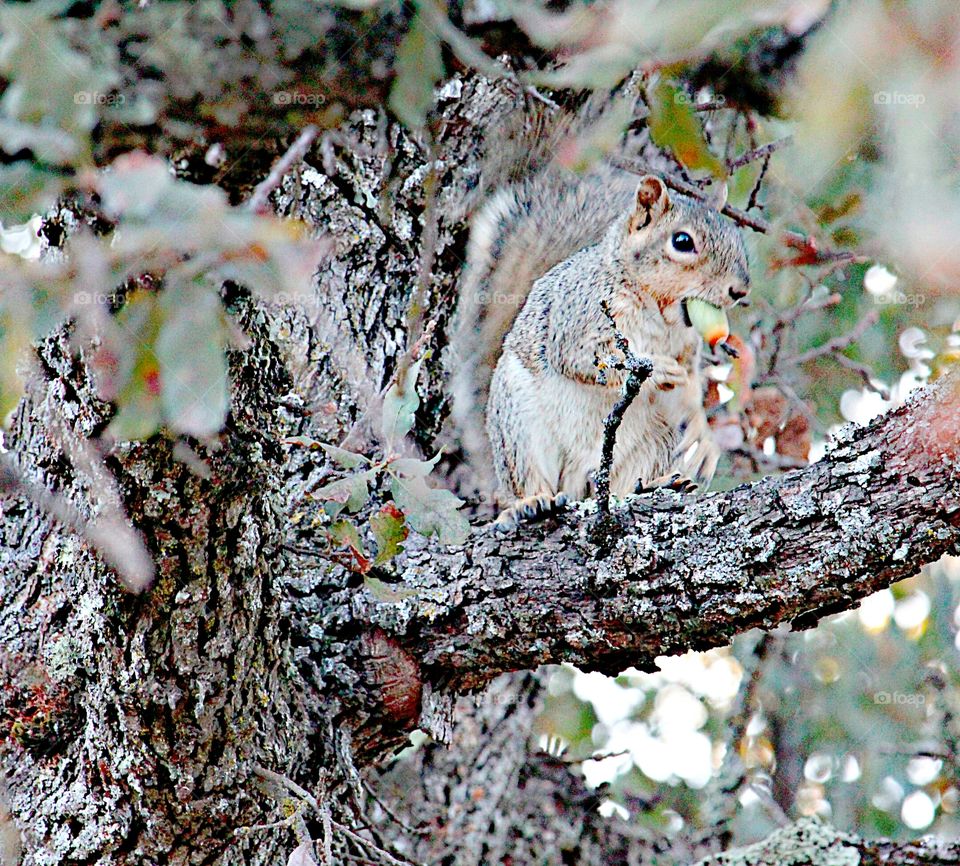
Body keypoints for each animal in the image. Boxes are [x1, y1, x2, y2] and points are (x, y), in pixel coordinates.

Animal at [451, 112, 750, 531]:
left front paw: (703, 436)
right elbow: (585, 358)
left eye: (737, 238)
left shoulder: (687, 351)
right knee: (529, 478)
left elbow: (690, 392)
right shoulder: (578, 315)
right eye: (682, 242)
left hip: (654, 440)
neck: (659, 316)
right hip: (520, 425)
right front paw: (656, 368)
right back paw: (531, 502)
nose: (739, 289)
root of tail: (579, 480)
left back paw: (659, 483)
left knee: (624, 484)